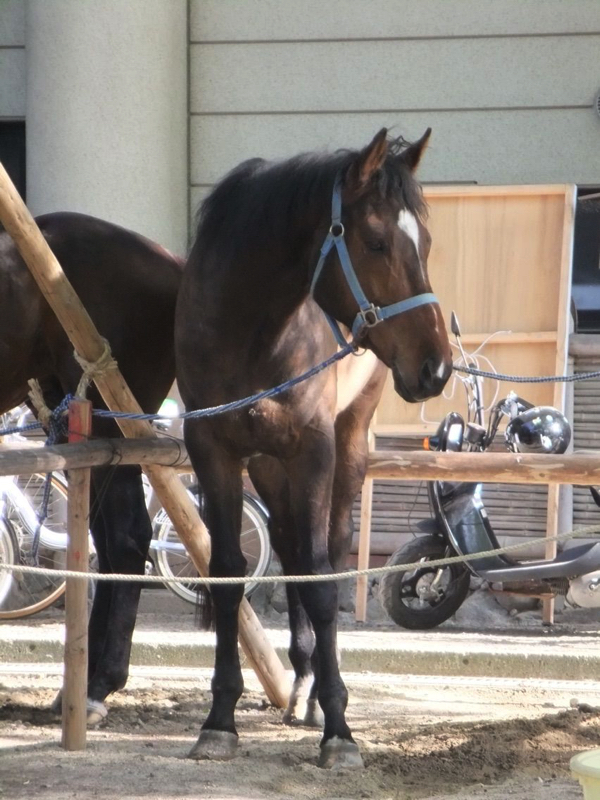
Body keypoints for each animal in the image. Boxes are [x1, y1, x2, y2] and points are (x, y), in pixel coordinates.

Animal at [176, 130, 452, 768]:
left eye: (425, 243)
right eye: (376, 242)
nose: (436, 367)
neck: (250, 330)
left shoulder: (315, 451)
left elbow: (325, 579)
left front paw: (340, 729)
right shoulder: (214, 450)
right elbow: (228, 574)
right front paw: (219, 719)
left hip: (346, 447)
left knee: (327, 547)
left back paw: (321, 693)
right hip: (269, 465)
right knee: (290, 545)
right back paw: (302, 679)